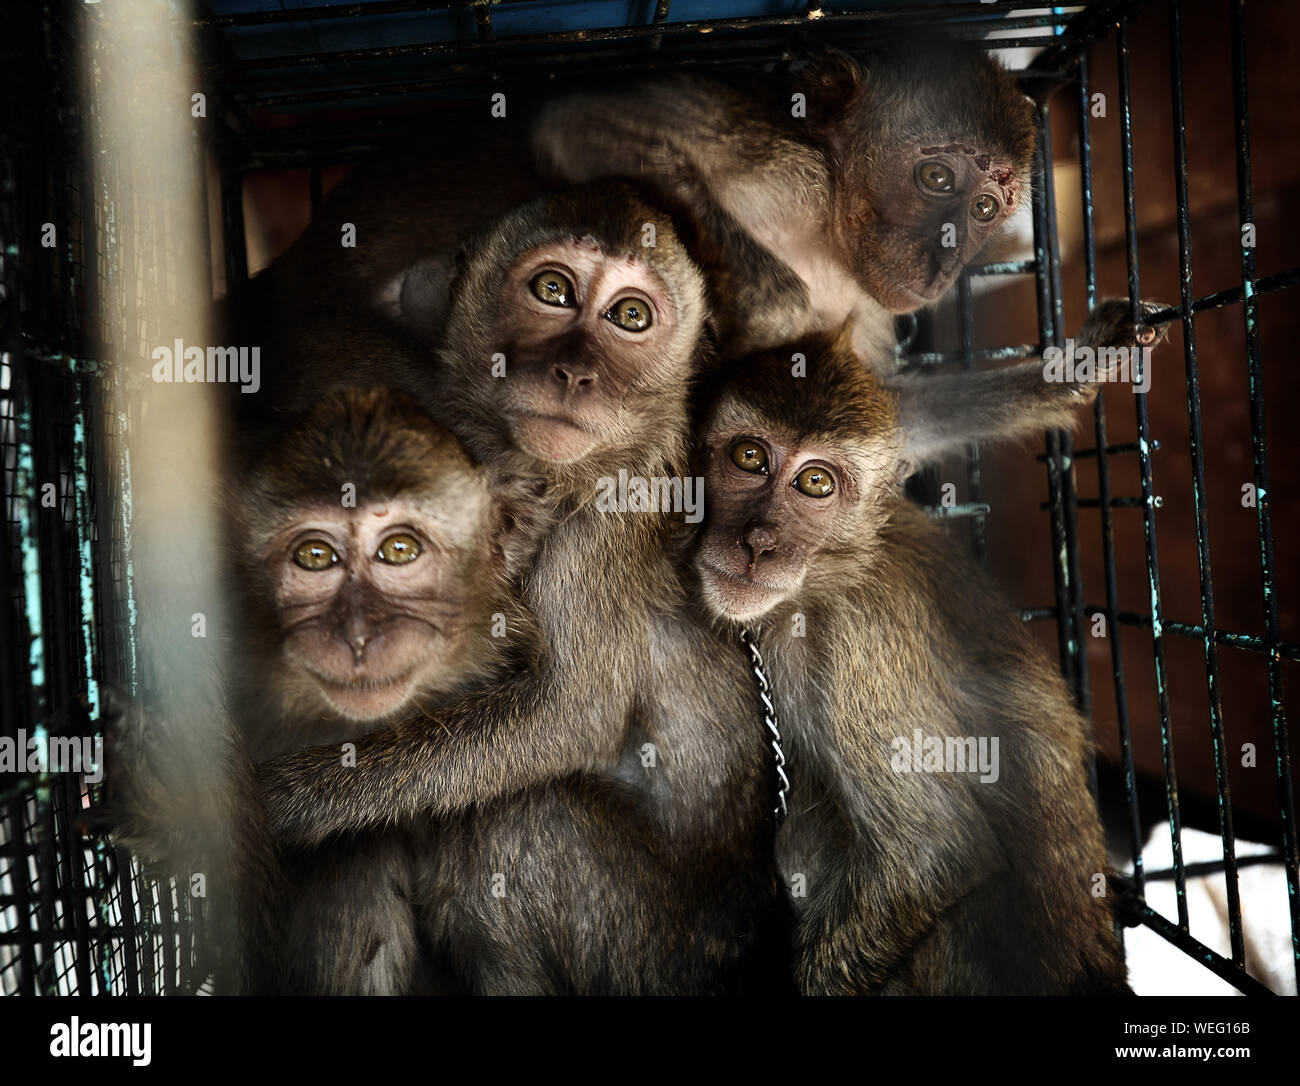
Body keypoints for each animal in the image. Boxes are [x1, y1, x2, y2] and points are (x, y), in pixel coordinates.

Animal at [685, 310, 1167, 994]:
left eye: (815, 483)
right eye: (749, 457)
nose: (758, 544)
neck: (830, 572)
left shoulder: (849, 647)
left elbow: (934, 854)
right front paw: (1080, 366)